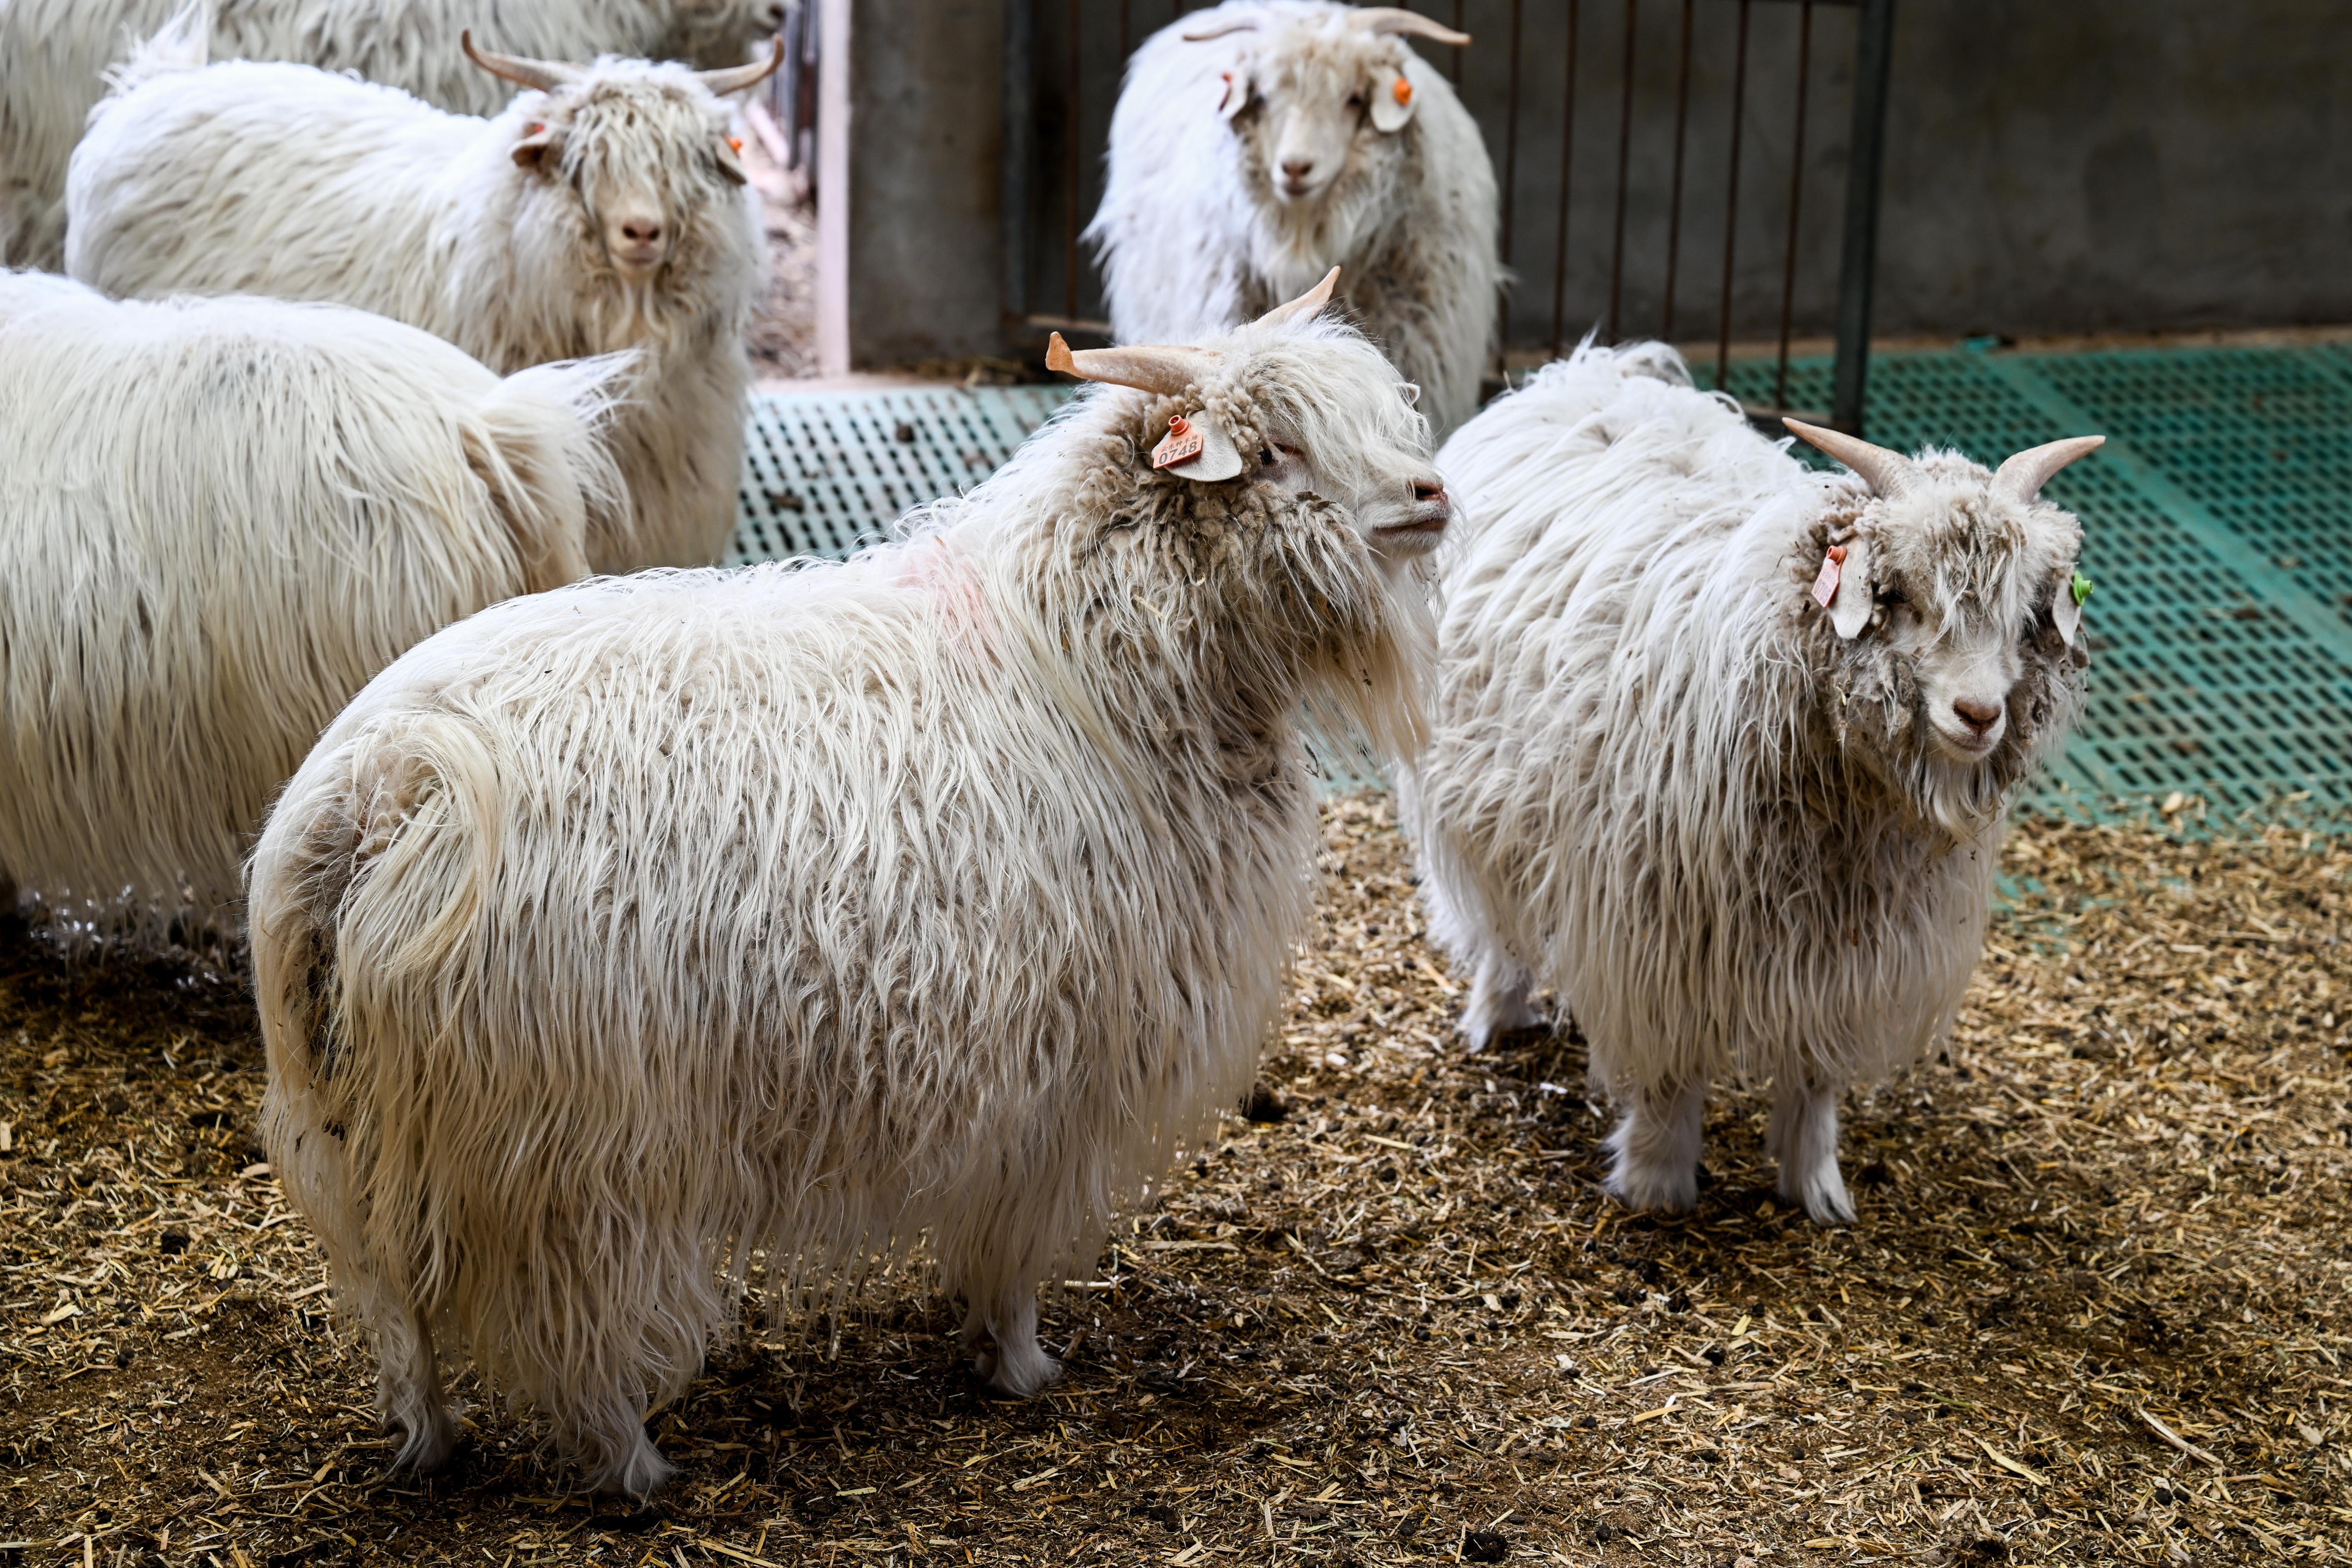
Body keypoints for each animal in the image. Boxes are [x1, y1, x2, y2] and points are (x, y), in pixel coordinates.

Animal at [243, 270, 1448, 1495]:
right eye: (1276, 451)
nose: (1430, 492)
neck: (1095, 662)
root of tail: (381, 783)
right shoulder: (1057, 1083)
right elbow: (1013, 1251)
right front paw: (1019, 1364)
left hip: (375, 1115)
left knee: (395, 1296)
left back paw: (428, 1441)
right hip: (568, 1141)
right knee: (570, 1322)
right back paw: (632, 1463)